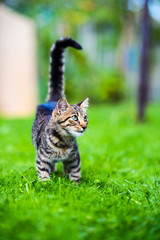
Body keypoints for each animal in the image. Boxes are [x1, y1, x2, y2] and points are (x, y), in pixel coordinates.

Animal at [31, 38, 89, 184]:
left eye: (85, 118)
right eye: (74, 118)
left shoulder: (75, 157)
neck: (64, 142)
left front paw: (74, 185)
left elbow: (75, 172)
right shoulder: (42, 157)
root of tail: (53, 100)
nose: (84, 126)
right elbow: (43, 172)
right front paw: (45, 184)